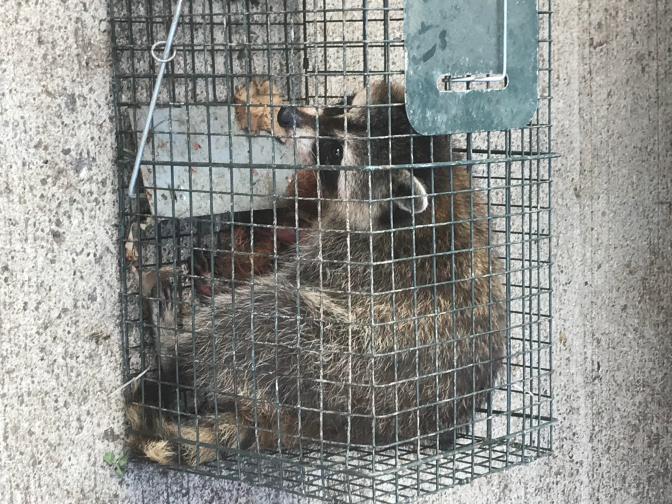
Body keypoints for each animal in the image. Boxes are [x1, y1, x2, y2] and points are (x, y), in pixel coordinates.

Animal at [127, 81, 506, 465]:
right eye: (342, 104)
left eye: (336, 151)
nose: (286, 115)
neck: (438, 186)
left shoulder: (351, 251)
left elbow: (294, 276)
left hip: (328, 360)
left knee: (260, 313)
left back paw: (174, 344)